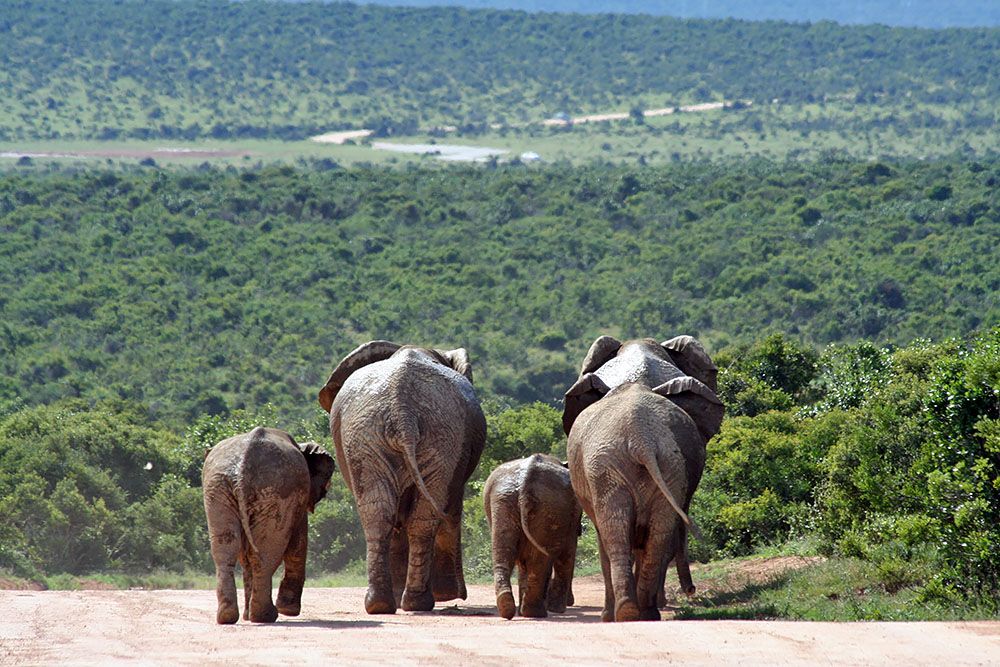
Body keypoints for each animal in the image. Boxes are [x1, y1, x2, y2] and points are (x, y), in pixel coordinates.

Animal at [202, 428, 336, 628]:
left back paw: (231, 617)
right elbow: (298, 544)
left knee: (228, 551)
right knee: (264, 555)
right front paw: (288, 610)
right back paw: (266, 616)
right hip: (274, 489)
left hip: (220, 488)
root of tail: (242, 465)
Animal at [318, 340, 486, 616]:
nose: (460, 595)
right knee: (395, 513)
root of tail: (402, 409)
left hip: (417, 435)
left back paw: (394, 603)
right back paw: (400, 603)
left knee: (385, 513)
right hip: (381, 434)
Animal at [482, 454, 584, 620]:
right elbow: (568, 553)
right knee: (541, 558)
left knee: (505, 553)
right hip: (549, 508)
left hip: (503, 502)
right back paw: (536, 613)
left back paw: (509, 609)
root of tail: (525, 480)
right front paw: (557, 610)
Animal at [560, 336, 724, 624]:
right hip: (650, 467)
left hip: (619, 468)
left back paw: (627, 613)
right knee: (650, 534)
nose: (691, 590)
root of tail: (641, 438)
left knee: (619, 536)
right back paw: (639, 612)